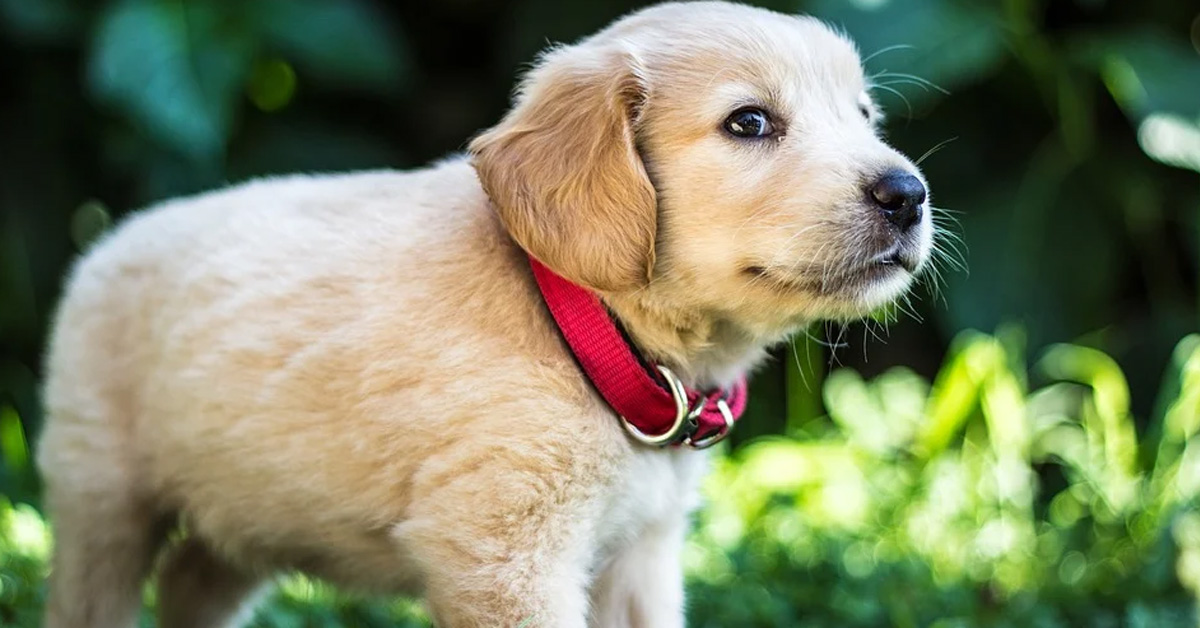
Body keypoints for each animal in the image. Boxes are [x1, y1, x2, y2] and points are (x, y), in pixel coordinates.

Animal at [37, 2, 931, 624]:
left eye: (865, 118)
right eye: (749, 122)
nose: (909, 193)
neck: (586, 326)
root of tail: (109, 240)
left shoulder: (640, 557)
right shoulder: (504, 558)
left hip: (247, 514)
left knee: (192, 577)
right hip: (101, 496)